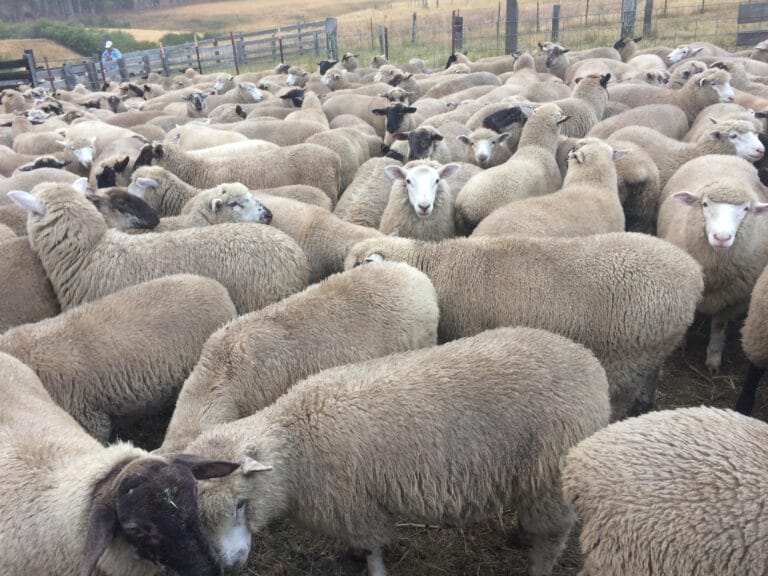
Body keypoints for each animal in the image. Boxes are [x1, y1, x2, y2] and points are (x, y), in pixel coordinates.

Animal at [187, 326, 610, 576]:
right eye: (201, 518)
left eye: (241, 504)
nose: (229, 565)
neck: (296, 439)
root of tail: (590, 364)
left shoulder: (358, 506)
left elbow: (373, 549)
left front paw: (372, 568)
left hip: (549, 480)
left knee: (551, 540)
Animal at [659, 161, 768, 373]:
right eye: (705, 204)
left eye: (745, 209)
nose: (722, 237)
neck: (714, 273)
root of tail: (724, 156)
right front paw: (681, 343)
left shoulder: (731, 300)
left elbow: (718, 326)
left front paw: (713, 359)